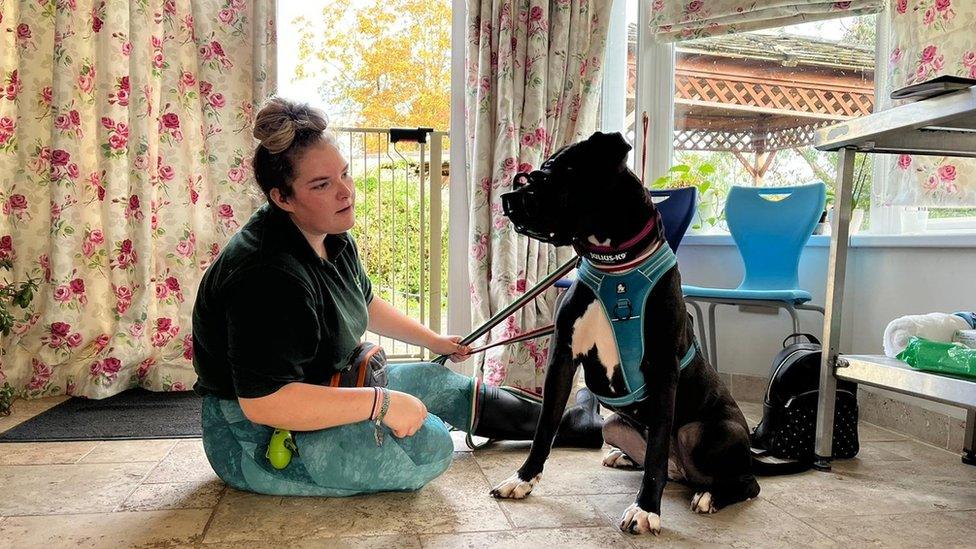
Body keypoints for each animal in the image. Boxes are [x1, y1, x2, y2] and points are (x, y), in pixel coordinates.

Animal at [492, 132, 772, 536]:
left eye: (556, 173)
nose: (508, 198)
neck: (616, 268)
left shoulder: (663, 372)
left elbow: (656, 450)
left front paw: (645, 510)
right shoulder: (562, 360)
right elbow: (545, 428)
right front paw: (522, 479)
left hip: (706, 433)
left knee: (745, 482)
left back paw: (711, 495)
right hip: (613, 423)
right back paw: (624, 458)